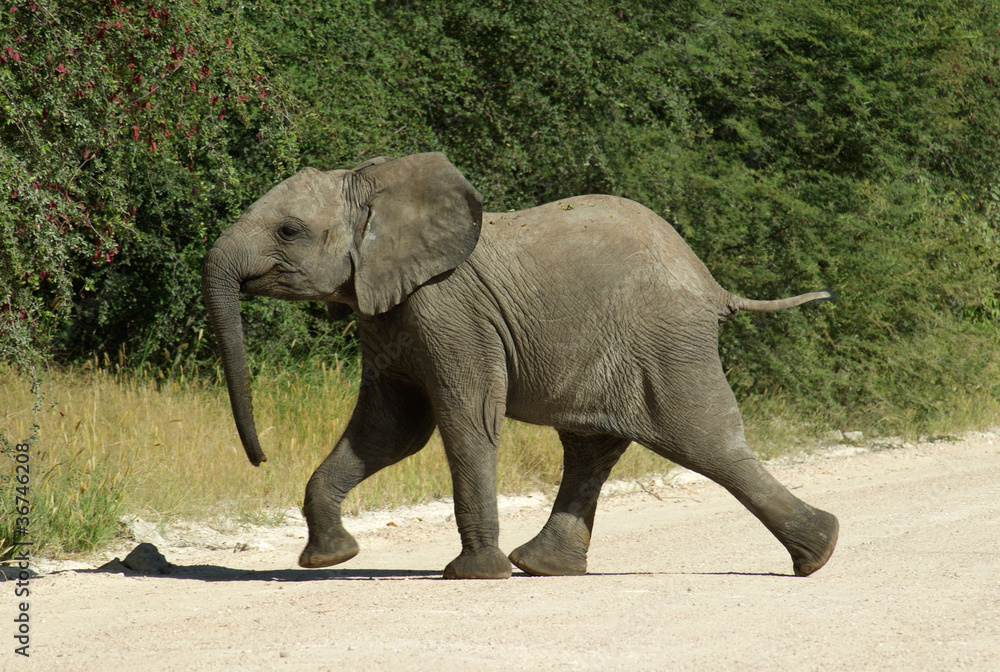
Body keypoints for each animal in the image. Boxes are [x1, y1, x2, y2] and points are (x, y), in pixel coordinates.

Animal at [202, 152, 839, 579]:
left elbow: (465, 420)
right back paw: (541, 567)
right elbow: (388, 431)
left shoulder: (450, 308)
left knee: (704, 441)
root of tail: (711, 285)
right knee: (592, 447)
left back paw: (820, 553)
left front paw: (471, 576)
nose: (260, 459)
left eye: (289, 230)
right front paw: (330, 558)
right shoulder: (387, 312)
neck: (377, 188)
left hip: (666, 340)